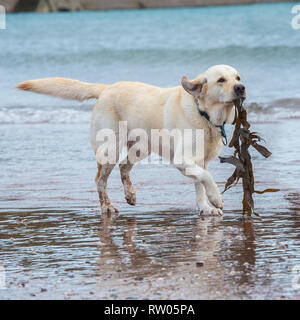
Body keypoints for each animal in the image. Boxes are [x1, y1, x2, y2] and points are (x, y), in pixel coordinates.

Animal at [15, 64, 246, 216]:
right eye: (221, 80)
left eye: (238, 77)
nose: (241, 88)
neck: (204, 115)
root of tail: (105, 88)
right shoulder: (184, 160)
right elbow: (206, 178)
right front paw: (216, 199)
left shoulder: (200, 161)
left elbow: (200, 183)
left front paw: (205, 208)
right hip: (110, 150)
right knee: (100, 180)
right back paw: (107, 207)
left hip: (142, 147)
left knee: (124, 167)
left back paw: (130, 194)